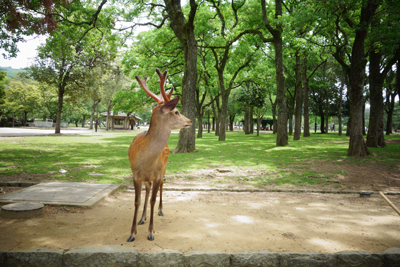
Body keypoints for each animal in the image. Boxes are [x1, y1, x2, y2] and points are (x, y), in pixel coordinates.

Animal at [127, 67, 191, 243]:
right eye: (176, 111)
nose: (190, 121)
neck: (146, 160)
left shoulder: (156, 174)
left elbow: (153, 200)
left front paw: (151, 233)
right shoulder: (136, 174)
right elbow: (137, 201)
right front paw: (132, 233)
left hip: (164, 167)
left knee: (161, 186)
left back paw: (161, 211)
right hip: (148, 178)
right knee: (148, 191)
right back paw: (142, 218)